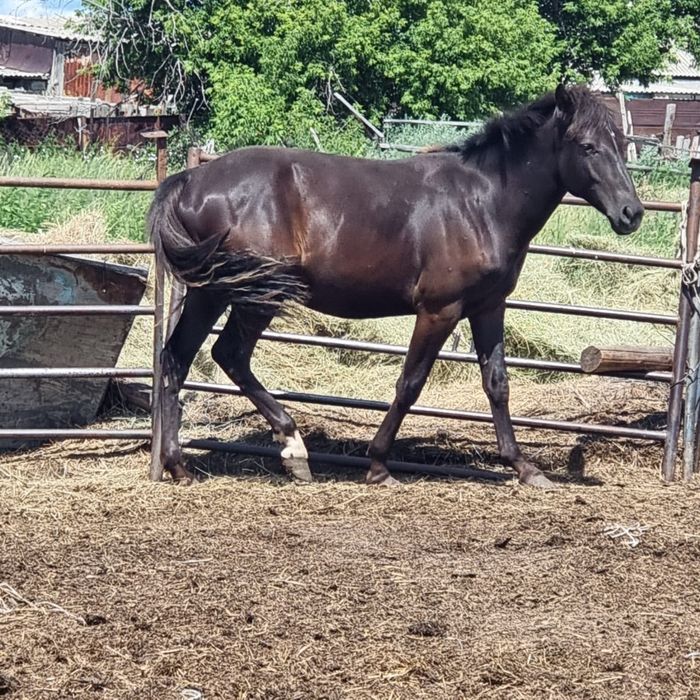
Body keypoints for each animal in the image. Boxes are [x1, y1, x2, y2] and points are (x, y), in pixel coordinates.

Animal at [149, 84, 643, 488]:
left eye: (621, 145)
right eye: (588, 146)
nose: (631, 213)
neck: (482, 203)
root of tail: (190, 180)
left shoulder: (489, 307)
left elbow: (497, 383)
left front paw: (525, 468)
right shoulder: (440, 310)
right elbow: (410, 383)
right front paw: (378, 465)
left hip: (211, 292)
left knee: (177, 358)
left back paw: (178, 465)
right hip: (255, 295)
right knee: (229, 355)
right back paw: (292, 448)